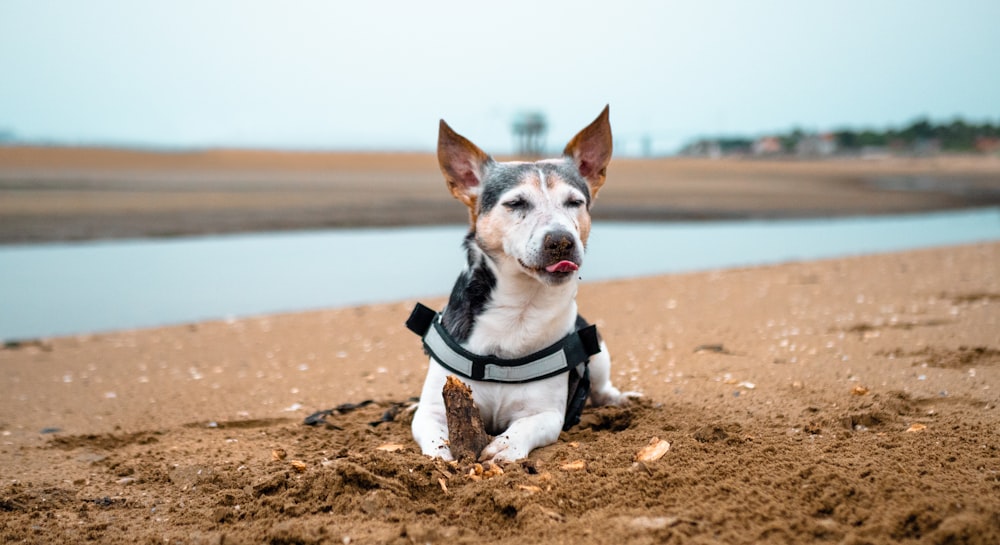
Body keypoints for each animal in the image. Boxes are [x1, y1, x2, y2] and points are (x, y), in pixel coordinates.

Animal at [406, 107, 632, 464]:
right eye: (516, 203)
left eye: (574, 202)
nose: (561, 241)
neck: (519, 309)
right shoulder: (431, 410)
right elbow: (434, 435)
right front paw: (442, 457)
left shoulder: (546, 414)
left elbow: (527, 426)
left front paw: (505, 446)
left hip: (598, 355)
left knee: (601, 386)